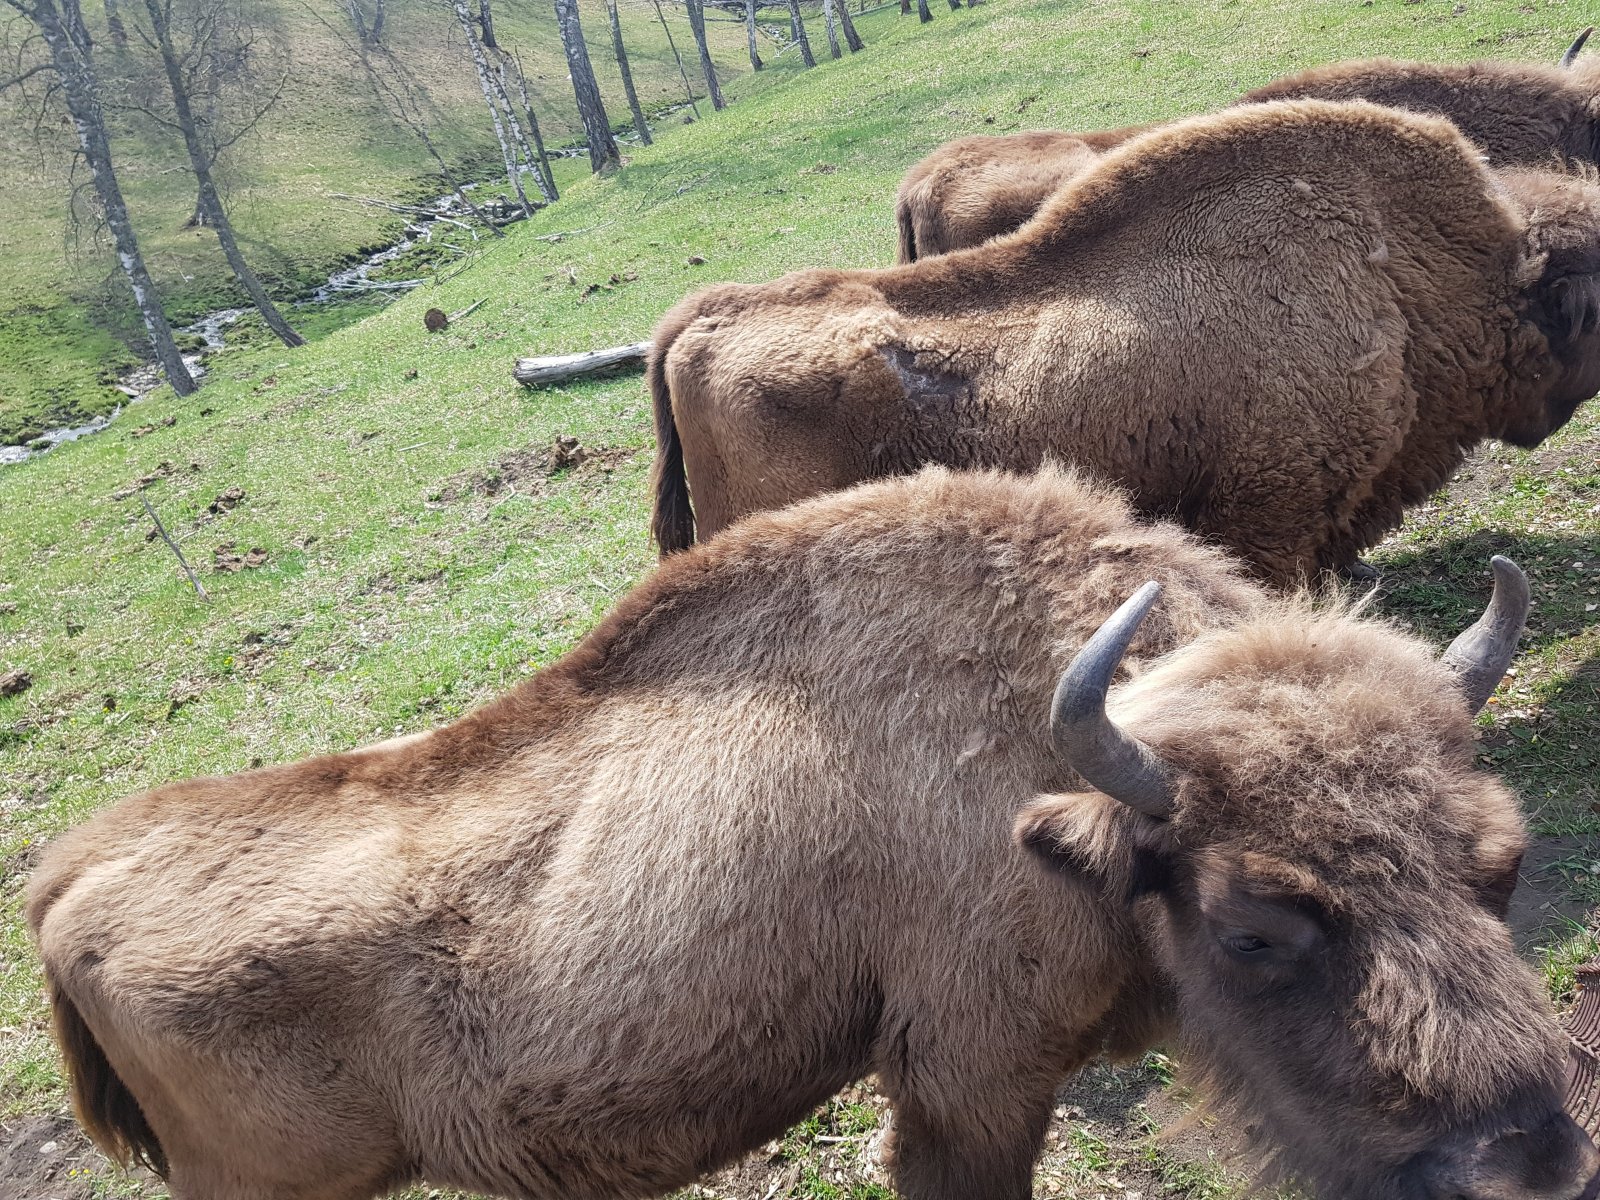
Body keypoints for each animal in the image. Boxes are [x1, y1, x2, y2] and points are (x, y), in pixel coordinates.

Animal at [25, 467, 1600, 1200]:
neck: (1050, 775)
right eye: (1258, 926)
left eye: (1502, 864)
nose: (1525, 1164)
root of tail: (69, 875)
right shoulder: (969, 1074)